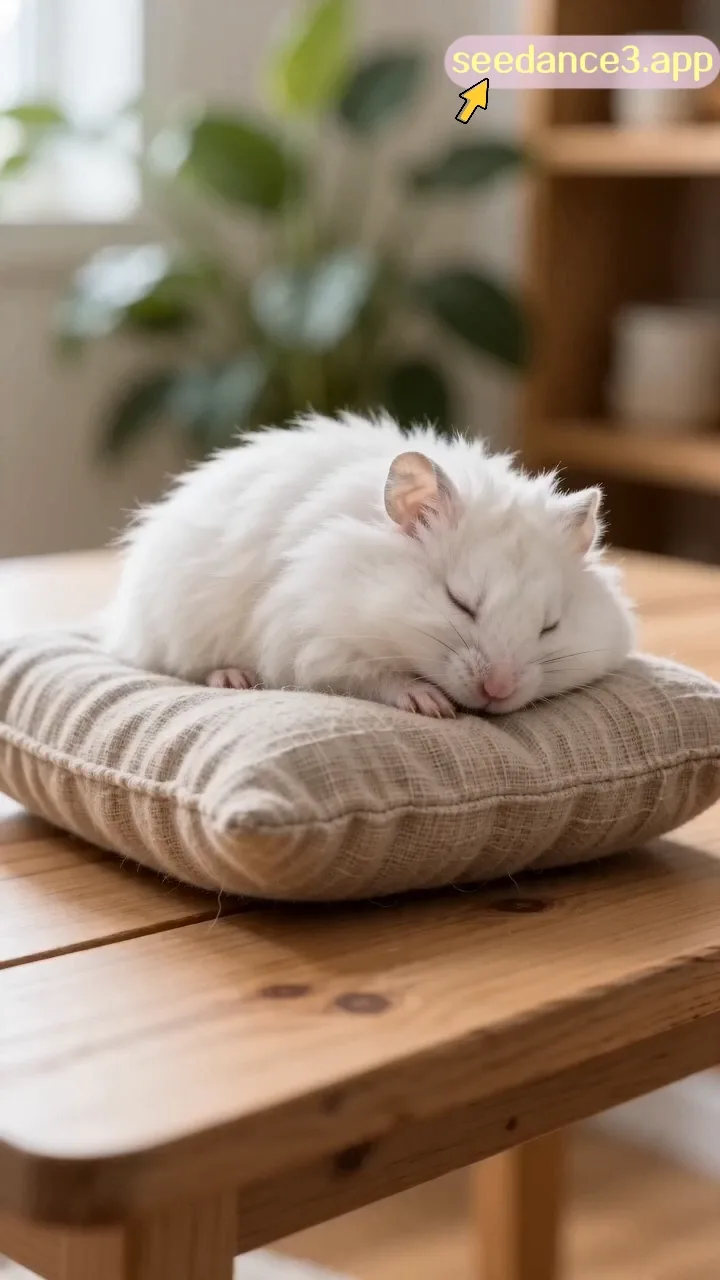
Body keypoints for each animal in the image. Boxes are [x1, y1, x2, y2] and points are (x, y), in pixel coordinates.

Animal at [104, 412, 635, 718]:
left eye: (551, 625)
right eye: (460, 602)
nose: (497, 690)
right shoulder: (311, 644)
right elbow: (372, 678)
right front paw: (431, 705)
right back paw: (233, 678)